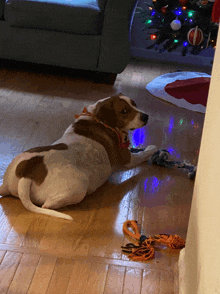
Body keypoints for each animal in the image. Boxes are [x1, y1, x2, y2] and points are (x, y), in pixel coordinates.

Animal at [0, 93, 158, 219]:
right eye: (124, 111)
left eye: (134, 104)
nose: (146, 116)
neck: (97, 119)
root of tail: (27, 173)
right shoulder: (127, 159)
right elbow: (143, 154)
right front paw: (151, 148)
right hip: (79, 187)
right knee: (47, 205)